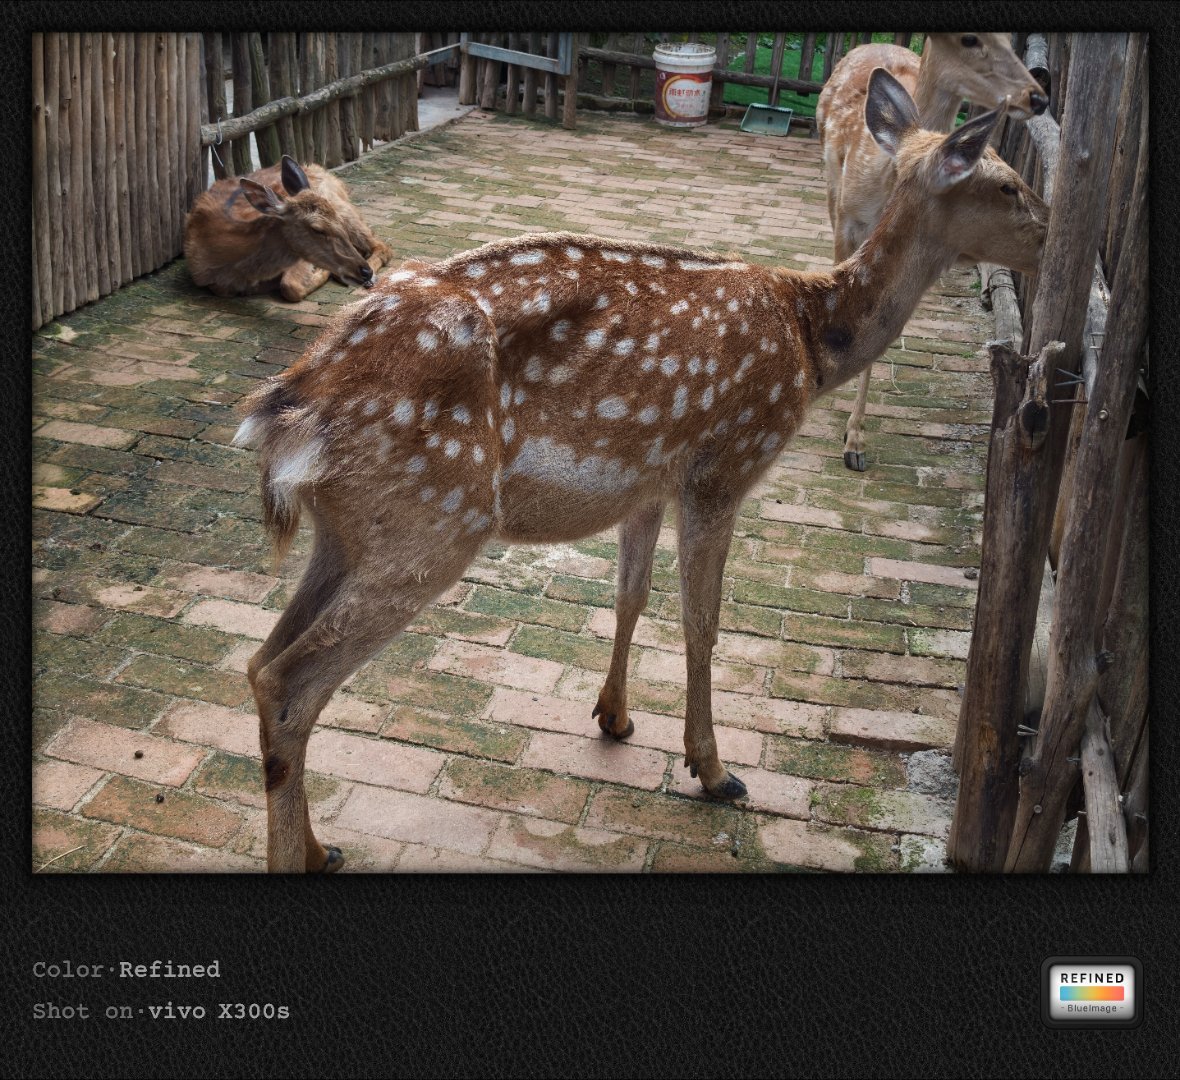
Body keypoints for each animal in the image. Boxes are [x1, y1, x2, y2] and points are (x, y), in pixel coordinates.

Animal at [184, 155, 393, 303]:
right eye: (318, 229)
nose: (365, 272)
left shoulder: (301, 258)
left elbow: (290, 286)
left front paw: (323, 273)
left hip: (344, 209)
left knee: (383, 246)